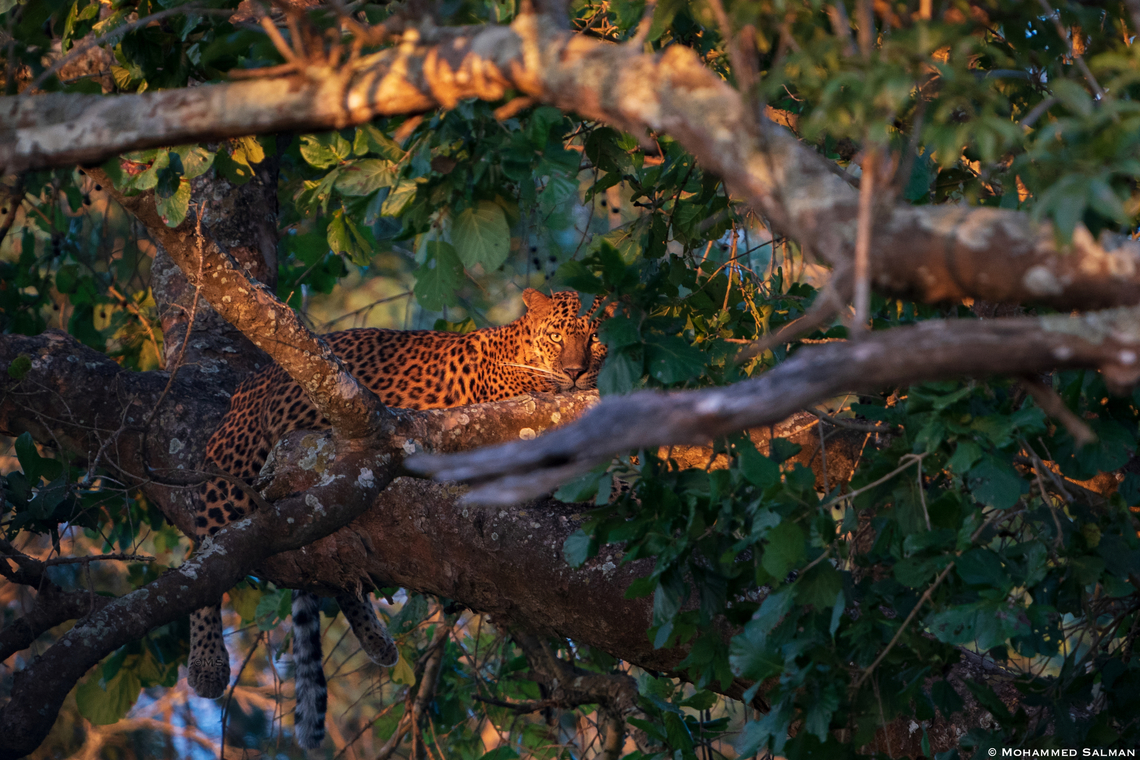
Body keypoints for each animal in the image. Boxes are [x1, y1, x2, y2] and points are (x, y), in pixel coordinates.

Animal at [186, 288, 610, 749]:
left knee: (336, 567)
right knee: (204, 558)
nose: (575, 373)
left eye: (594, 338)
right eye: (556, 336)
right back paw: (207, 663)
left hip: (339, 492)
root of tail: (246, 386)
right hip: (233, 477)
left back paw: (376, 640)